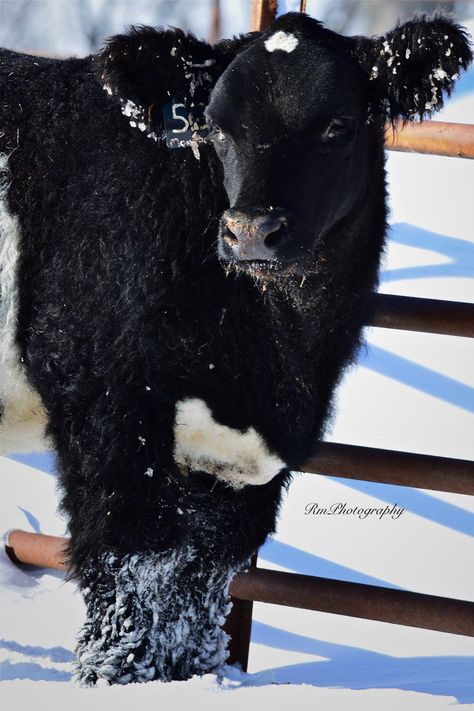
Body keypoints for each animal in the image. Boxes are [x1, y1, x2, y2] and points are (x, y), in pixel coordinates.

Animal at [0, 11, 470, 688]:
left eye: (337, 124)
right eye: (216, 126)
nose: (251, 231)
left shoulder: (240, 464)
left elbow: (197, 584)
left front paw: (192, 679)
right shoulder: (104, 405)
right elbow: (129, 570)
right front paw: (114, 679)